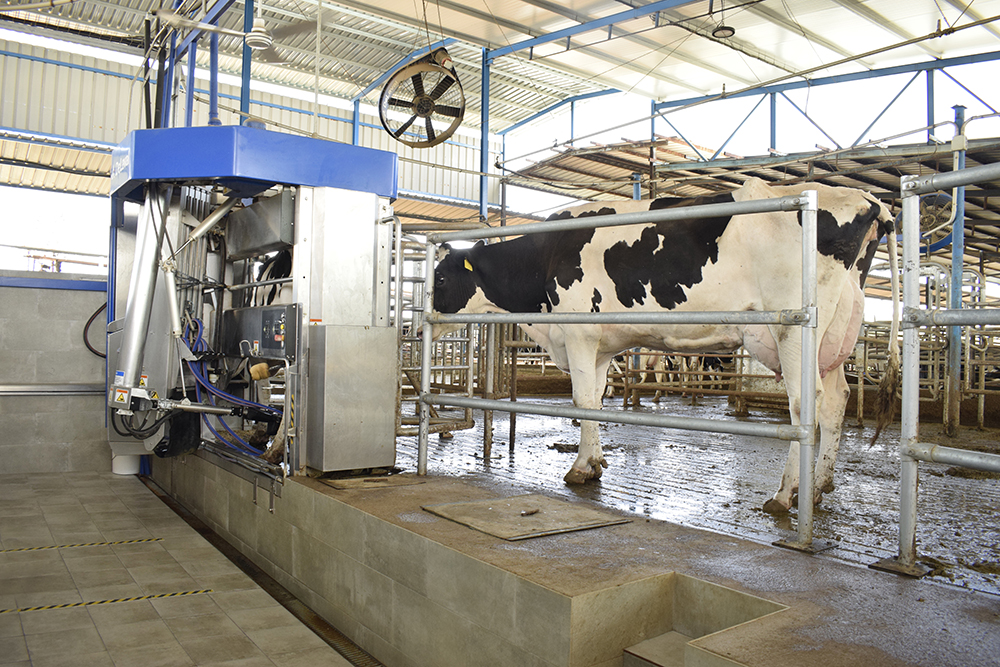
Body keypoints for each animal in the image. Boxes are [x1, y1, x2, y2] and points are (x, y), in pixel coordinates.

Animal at [434, 179, 904, 516]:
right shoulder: (601, 346)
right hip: (834, 337)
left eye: (439, 279)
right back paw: (821, 485)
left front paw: (580, 468)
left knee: (806, 405)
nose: (420, 329)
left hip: (793, 329)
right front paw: (597, 462)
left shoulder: (579, 334)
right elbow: (596, 401)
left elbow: (582, 400)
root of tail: (867, 199)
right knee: (837, 400)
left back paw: (786, 494)